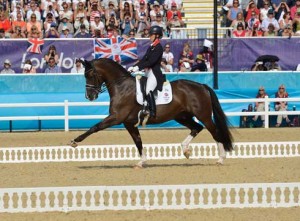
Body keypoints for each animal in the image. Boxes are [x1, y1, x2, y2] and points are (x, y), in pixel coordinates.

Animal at [70, 57, 234, 168]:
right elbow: (138, 141)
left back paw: (220, 158)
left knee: (214, 132)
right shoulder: (129, 123)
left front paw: (75, 141)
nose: (89, 97)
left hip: (204, 116)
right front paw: (141, 162)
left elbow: (95, 127)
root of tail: (202, 86)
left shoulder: (116, 118)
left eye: (90, 75)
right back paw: (185, 150)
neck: (121, 86)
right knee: (197, 127)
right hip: (182, 116)